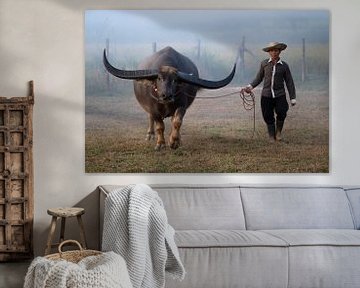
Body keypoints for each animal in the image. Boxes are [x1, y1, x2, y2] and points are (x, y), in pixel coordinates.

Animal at [102, 46, 235, 150]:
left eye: (175, 80)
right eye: (159, 78)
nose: (166, 95)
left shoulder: (181, 106)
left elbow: (177, 122)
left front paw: (174, 142)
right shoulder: (153, 109)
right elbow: (160, 126)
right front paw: (160, 144)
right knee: (150, 119)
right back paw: (150, 135)